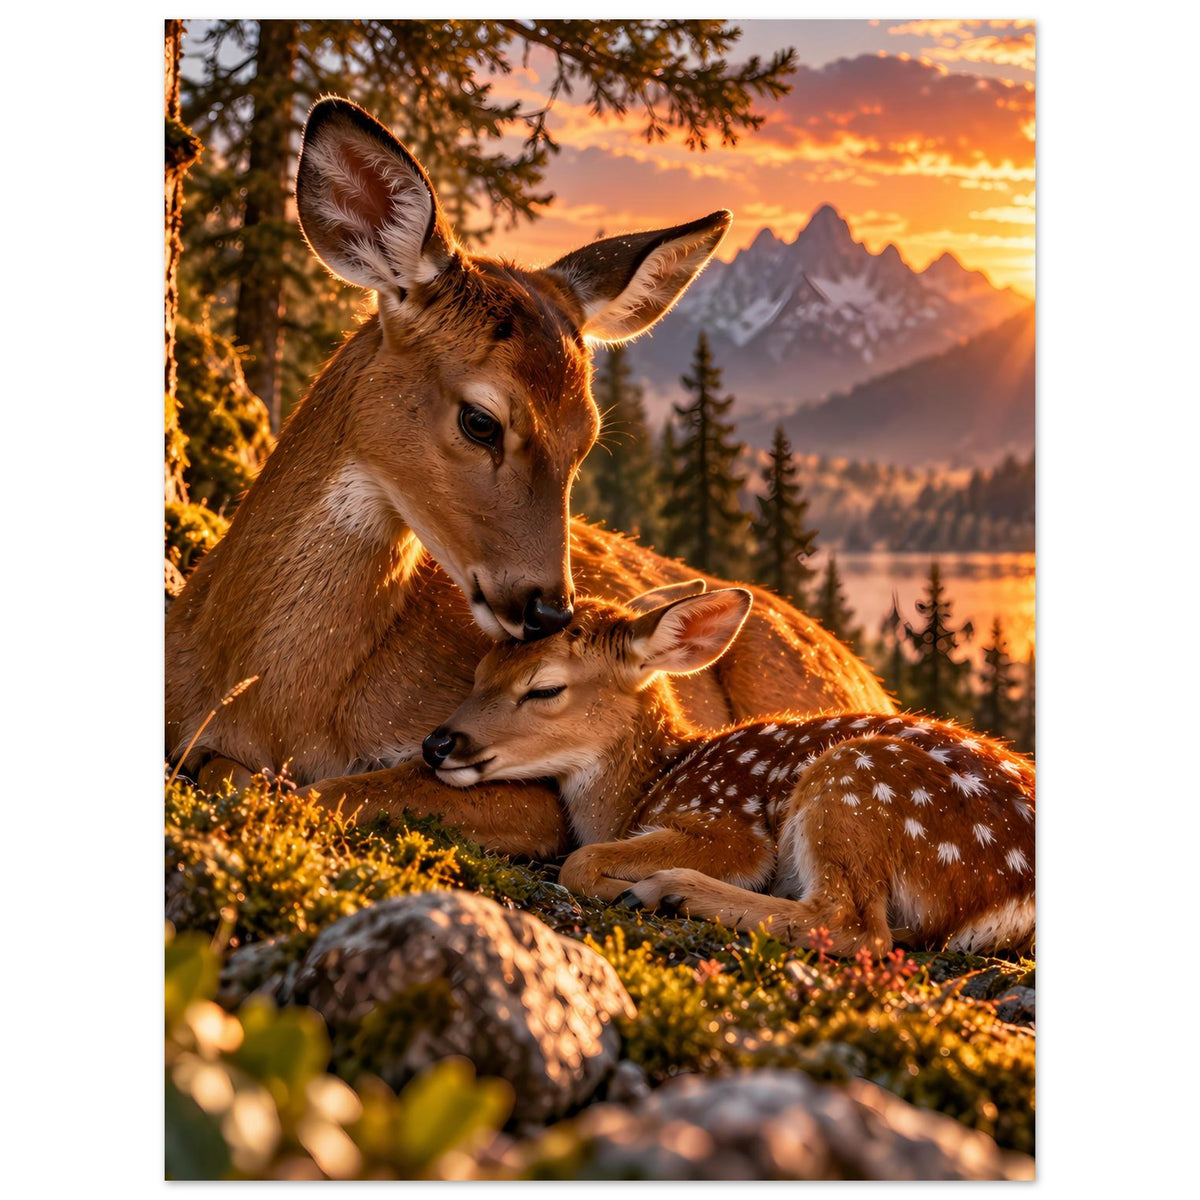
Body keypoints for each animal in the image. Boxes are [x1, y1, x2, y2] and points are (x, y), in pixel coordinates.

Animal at [165, 96, 893, 861]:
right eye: (481, 420)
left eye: (588, 437)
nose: (550, 610)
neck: (271, 700)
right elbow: (231, 771)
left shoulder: (533, 793)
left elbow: (333, 789)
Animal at [423, 583, 1036, 956]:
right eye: (480, 670)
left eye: (545, 688)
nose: (437, 744)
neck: (647, 787)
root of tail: (1014, 893)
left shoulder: (727, 825)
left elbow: (581, 859)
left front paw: (622, 884)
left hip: (857, 780)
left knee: (855, 925)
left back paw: (665, 891)